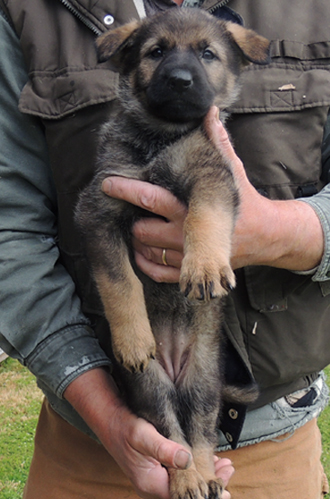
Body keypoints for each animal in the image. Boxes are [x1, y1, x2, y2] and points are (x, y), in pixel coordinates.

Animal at [76, 8, 270, 499]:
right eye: (156, 51)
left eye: (208, 53)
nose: (181, 80)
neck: (160, 139)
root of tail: (176, 362)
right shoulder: (99, 210)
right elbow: (118, 281)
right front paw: (132, 337)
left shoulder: (211, 175)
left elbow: (204, 217)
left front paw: (203, 265)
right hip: (151, 387)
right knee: (173, 434)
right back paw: (185, 476)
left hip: (204, 381)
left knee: (200, 433)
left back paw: (203, 475)